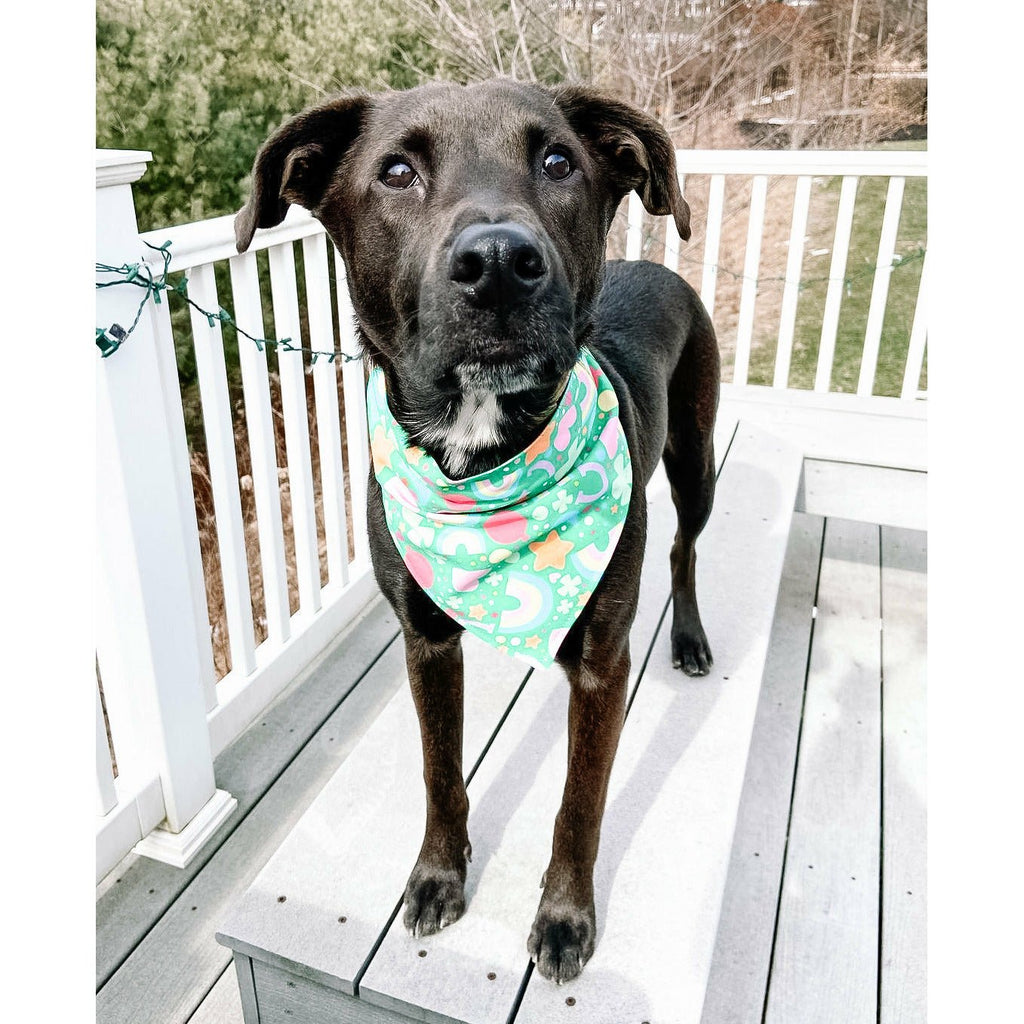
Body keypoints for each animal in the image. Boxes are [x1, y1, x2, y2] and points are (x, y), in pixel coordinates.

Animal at [237, 77, 720, 983]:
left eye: (559, 161)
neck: (481, 459)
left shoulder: (603, 663)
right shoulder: (424, 637)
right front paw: (436, 875)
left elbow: (580, 803)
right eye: (396, 171)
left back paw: (692, 638)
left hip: (693, 457)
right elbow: (438, 771)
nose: (498, 263)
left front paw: (564, 916)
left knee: (683, 546)